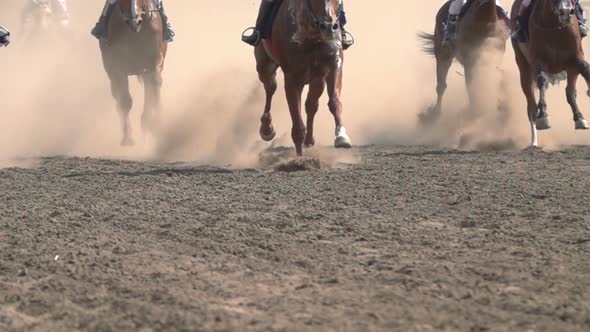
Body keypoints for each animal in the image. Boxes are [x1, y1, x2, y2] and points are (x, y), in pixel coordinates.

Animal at [98, 0, 165, 147]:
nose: (135, 22)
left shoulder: (154, 61)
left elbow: (154, 90)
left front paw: (156, 125)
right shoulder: (117, 68)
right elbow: (125, 101)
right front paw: (128, 137)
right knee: (118, 97)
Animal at [256, 0, 352, 157]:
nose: (329, 27)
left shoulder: (332, 63)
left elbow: (334, 101)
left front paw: (341, 137)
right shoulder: (291, 77)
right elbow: (297, 121)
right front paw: (300, 159)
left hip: (316, 79)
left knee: (311, 105)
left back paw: (309, 141)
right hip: (264, 66)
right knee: (270, 88)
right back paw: (267, 128)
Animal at [512, 0, 590, 148]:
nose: (566, 12)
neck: (556, 28)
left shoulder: (575, 59)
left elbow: (584, 70)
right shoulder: (538, 60)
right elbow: (542, 80)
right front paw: (543, 116)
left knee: (572, 89)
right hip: (523, 66)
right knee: (531, 106)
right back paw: (534, 142)